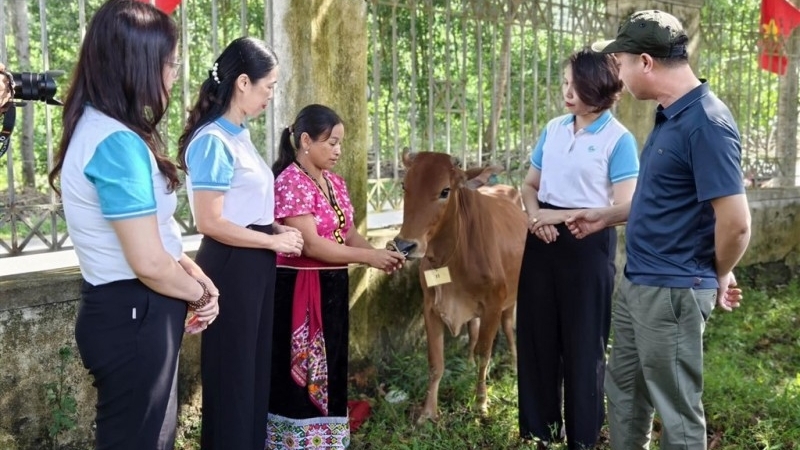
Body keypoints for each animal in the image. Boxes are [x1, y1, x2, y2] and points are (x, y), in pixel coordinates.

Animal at [390, 151, 528, 422]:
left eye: (445, 190)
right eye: (404, 186)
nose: (404, 245)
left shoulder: (494, 304)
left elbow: (485, 354)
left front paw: (481, 403)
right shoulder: (430, 307)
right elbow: (435, 362)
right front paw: (428, 412)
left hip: (511, 298)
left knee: (508, 327)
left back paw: (515, 364)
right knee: (472, 331)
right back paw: (466, 366)